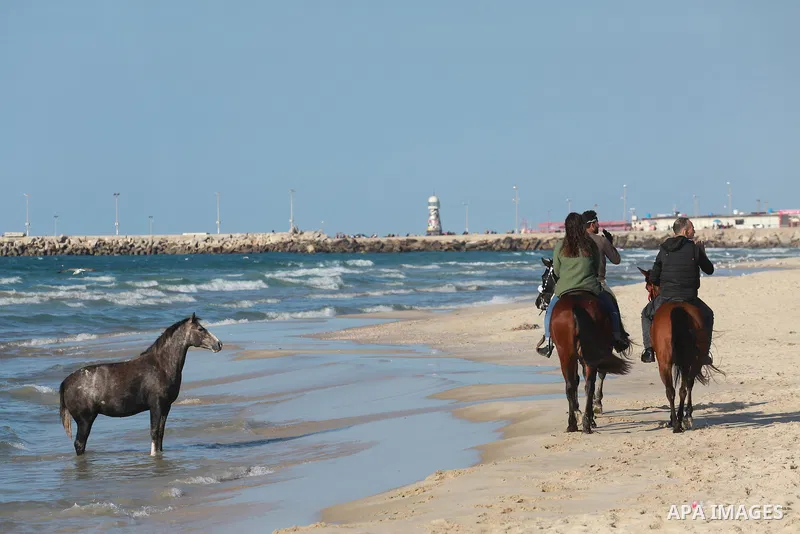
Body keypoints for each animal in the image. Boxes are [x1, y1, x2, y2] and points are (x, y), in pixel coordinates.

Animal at [59, 314, 222, 456]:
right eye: (200, 329)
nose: (219, 344)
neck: (161, 365)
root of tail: (66, 382)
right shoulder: (156, 405)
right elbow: (154, 432)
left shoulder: (166, 407)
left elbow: (161, 433)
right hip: (85, 420)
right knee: (80, 444)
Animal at [549, 292, 632, 433]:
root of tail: (576, 306)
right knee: (586, 384)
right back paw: (584, 421)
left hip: (567, 354)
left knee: (575, 385)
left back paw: (578, 422)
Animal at [637, 268, 720, 432]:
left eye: (648, 287)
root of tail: (678, 308)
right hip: (690, 361)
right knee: (683, 387)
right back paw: (682, 420)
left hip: (669, 363)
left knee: (676, 389)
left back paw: (678, 422)